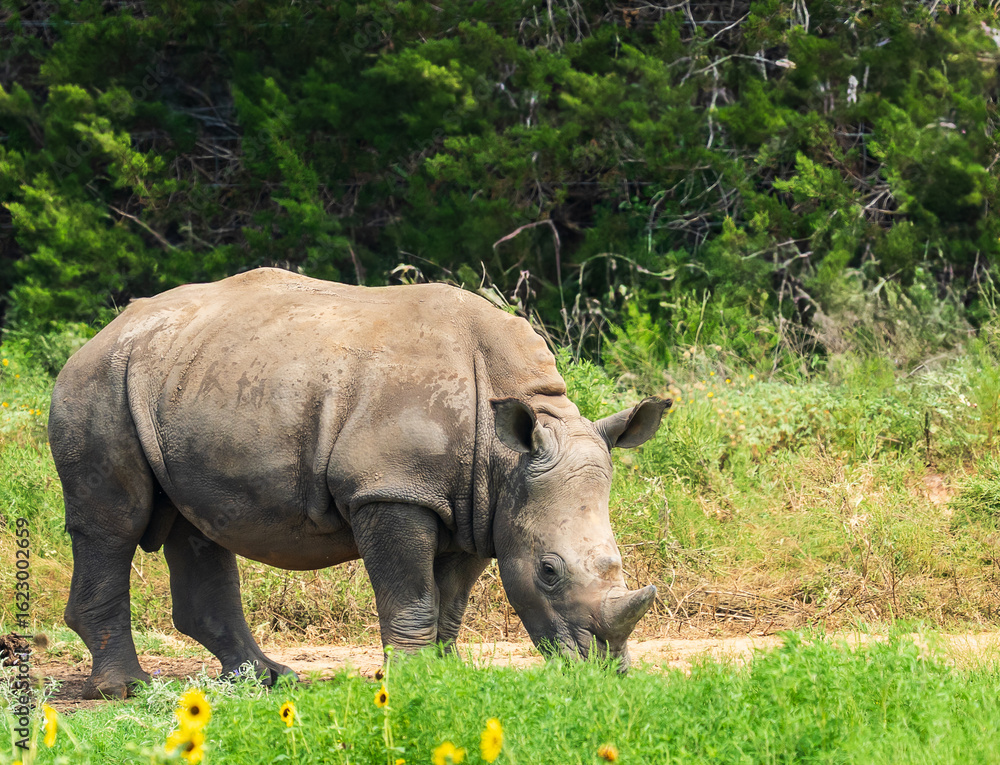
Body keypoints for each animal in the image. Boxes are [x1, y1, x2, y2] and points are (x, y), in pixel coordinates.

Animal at [49, 268, 669, 699]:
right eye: (548, 572)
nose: (603, 673)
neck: (507, 452)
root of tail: (99, 335)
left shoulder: (481, 505)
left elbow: (451, 600)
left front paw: (446, 675)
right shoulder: (391, 489)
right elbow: (413, 595)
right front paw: (415, 680)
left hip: (184, 380)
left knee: (198, 525)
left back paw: (270, 681)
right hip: (100, 384)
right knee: (114, 524)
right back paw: (127, 689)